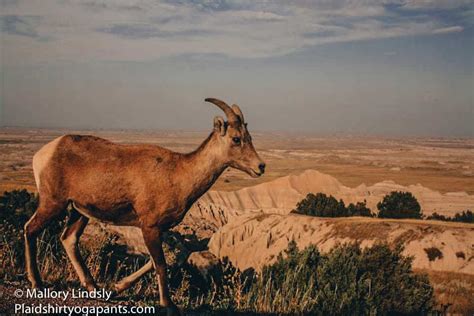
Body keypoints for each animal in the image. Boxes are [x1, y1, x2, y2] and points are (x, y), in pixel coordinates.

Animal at [24, 97, 264, 314]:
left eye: (249, 137)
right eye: (236, 138)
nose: (260, 167)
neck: (178, 173)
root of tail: (43, 154)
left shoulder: (157, 229)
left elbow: (156, 261)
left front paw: (115, 288)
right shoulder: (149, 227)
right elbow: (160, 264)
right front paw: (168, 305)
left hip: (79, 211)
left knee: (69, 239)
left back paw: (94, 288)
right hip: (53, 204)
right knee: (30, 229)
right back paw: (37, 284)